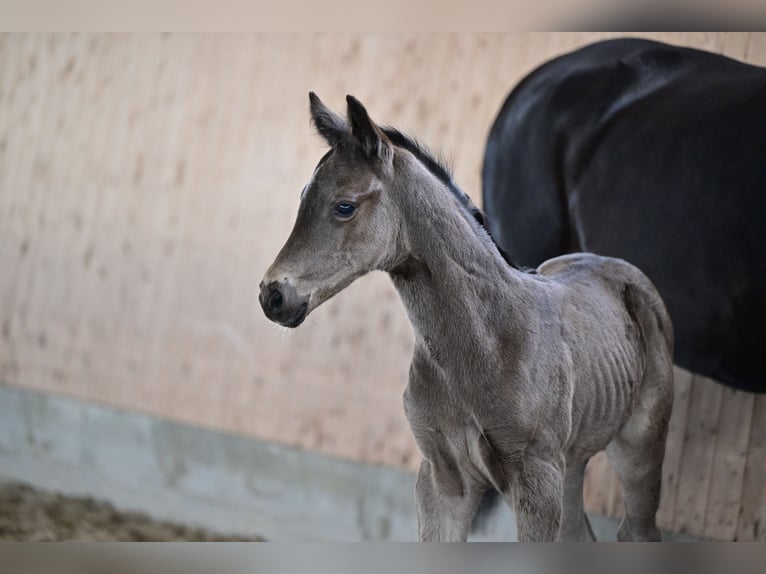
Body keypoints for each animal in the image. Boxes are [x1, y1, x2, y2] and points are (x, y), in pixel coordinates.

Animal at [260, 94, 676, 544]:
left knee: (638, 530)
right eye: (303, 197)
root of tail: (614, 266)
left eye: (344, 207)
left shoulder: (535, 479)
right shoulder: (443, 479)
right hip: (571, 463)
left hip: (638, 445)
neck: (487, 344)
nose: (272, 296)